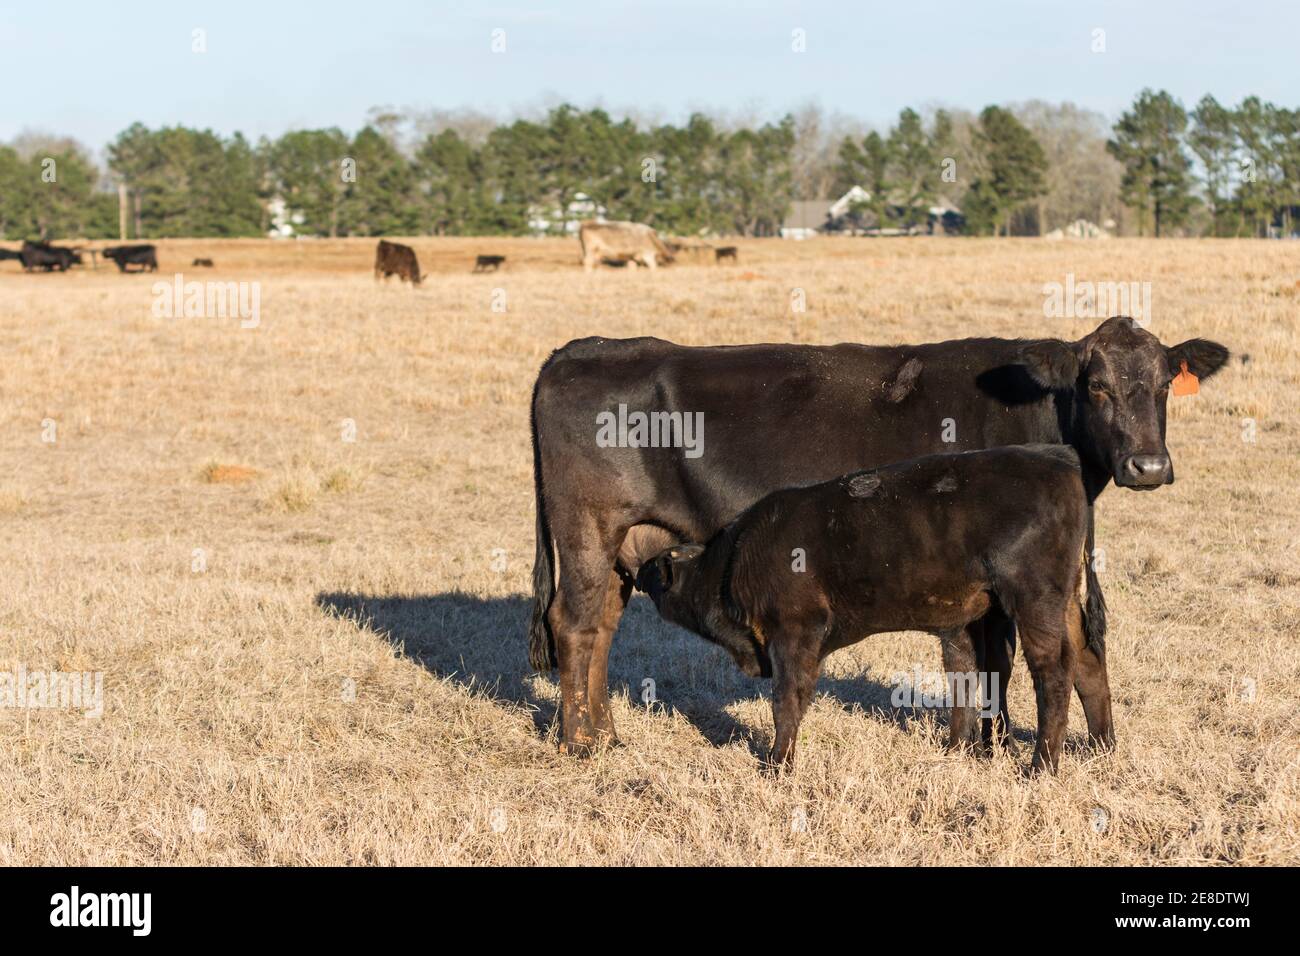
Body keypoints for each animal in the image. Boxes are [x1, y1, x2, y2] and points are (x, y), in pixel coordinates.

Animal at [637, 444, 1097, 775]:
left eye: (659, 564)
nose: (639, 570)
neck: (734, 561)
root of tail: (1056, 457)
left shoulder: (795, 633)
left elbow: (787, 699)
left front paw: (777, 763)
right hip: (1043, 608)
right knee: (1071, 660)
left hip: (1035, 602)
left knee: (1054, 673)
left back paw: (1041, 767)